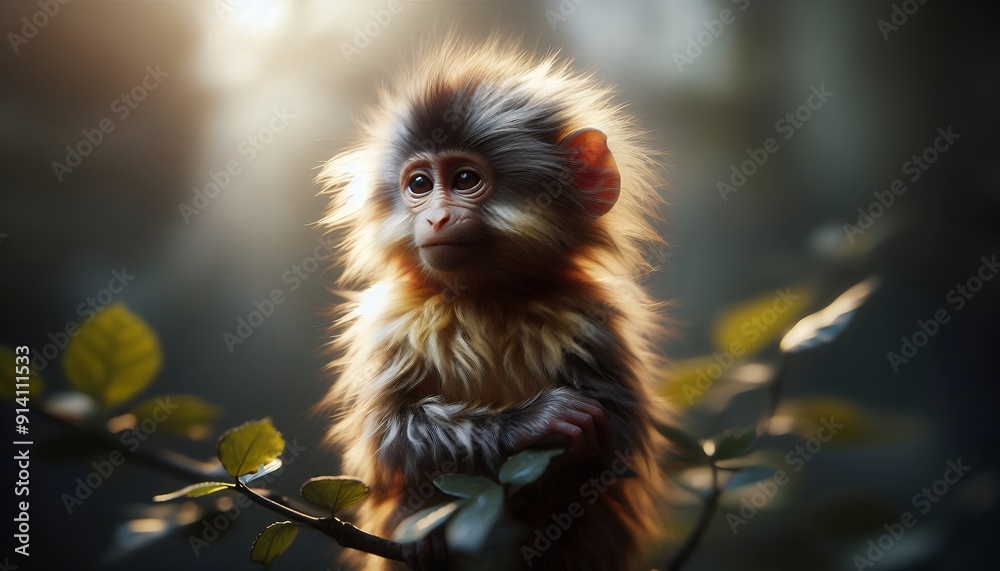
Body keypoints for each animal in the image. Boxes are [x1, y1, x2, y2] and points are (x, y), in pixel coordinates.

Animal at [318, 39, 668, 571]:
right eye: (419, 185)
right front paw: (535, 421)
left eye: (464, 179)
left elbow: (617, 444)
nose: (437, 218)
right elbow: (388, 435)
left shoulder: (595, 318)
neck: (485, 297)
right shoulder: (391, 321)